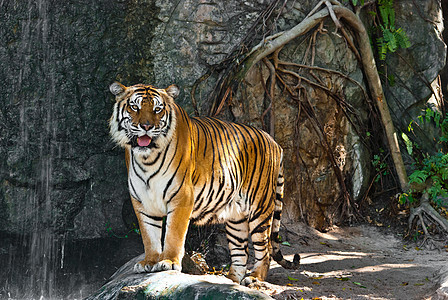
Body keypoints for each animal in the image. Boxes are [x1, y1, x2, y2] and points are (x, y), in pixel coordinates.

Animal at [107, 82, 300, 286]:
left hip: (259, 209)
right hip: (236, 219)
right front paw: (149, 262)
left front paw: (169, 262)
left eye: (157, 109)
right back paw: (230, 281)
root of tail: (274, 142)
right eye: (134, 107)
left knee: (264, 250)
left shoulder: (182, 197)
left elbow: (173, 234)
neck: (147, 159)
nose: (146, 126)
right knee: (241, 253)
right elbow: (149, 236)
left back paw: (255, 278)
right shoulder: (142, 202)